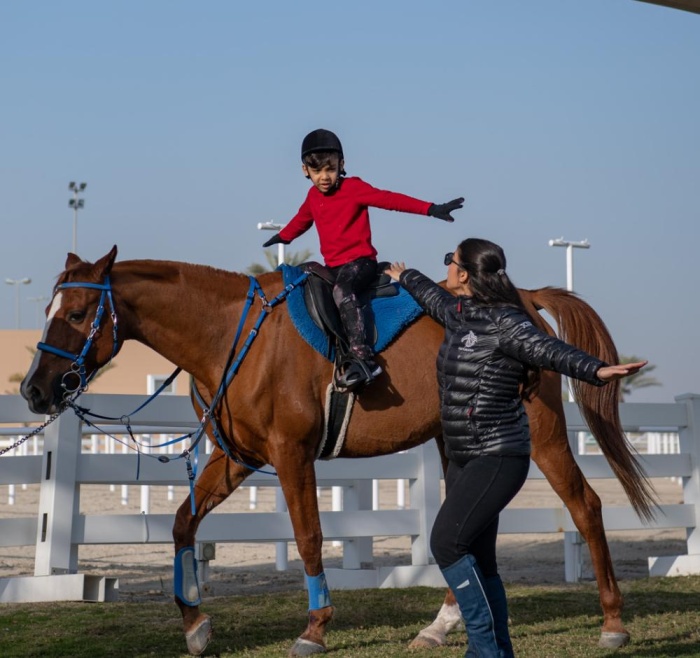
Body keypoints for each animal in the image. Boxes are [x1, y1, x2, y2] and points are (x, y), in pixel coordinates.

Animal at [21, 246, 656, 652]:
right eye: (49, 311)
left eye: (75, 313)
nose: (33, 390)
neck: (233, 336)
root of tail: (522, 298)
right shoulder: (237, 458)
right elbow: (182, 524)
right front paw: (196, 625)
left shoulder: (290, 455)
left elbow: (308, 537)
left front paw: (315, 628)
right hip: (456, 444)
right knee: (474, 531)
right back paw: (442, 624)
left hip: (541, 432)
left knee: (585, 507)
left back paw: (613, 622)